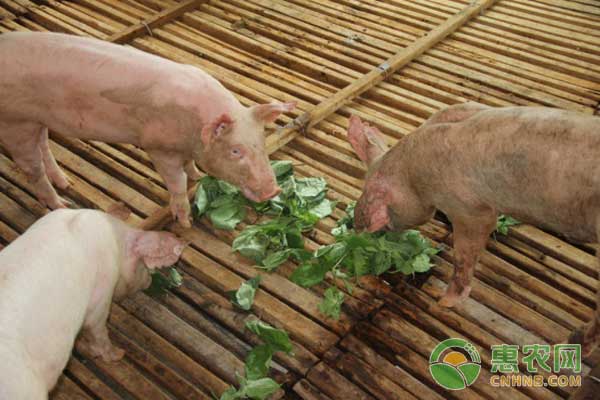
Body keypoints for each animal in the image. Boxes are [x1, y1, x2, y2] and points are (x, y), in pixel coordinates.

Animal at [346, 104, 600, 356]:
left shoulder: (470, 209)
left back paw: (570, 343)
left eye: (386, 220)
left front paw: (445, 302)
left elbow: (464, 253)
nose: (355, 227)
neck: (412, 174)